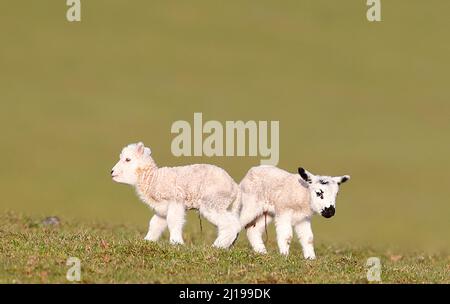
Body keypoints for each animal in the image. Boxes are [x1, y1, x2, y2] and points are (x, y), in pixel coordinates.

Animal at [110, 141, 241, 248]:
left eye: (127, 159)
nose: (111, 172)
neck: (154, 179)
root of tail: (234, 186)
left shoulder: (175, 200)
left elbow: (174, 221)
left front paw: (176, 243)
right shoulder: (162, 208)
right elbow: (155, 224)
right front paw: (147, 241)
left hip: (213, 202)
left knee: (231, 224)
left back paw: (217, 246)